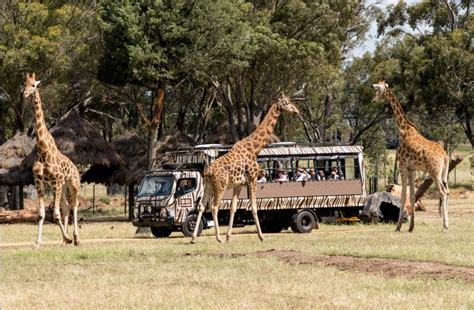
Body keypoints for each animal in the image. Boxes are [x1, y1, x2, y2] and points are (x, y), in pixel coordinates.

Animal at [23, 72, 81, 247]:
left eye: (34, 85)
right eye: (24, 84)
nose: (25, 93)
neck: (43, 149)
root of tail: (76, 168)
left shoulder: (56, 180)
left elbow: (55, 214)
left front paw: (69, 238)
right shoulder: (39, 181)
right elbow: (42, 214)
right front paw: (37, 242)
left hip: (73, 183)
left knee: (75, 205)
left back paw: (76, 238)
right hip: (63, 185)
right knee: (67, 207)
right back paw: (64, 241)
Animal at [191, 93, 298, 243]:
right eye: (286, 103)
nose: (296, 111)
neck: (254, 149)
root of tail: (208, 173)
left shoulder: (239, 184)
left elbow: (233, 208)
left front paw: (229, 236)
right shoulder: (253, 179)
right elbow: (254, 207)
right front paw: (261, 236)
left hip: (208, 186)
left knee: (201, 206)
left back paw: (193, 238)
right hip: (220, 186)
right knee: (214, 207)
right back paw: (218, 238)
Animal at [372, 81, 450, 231]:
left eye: (378, 89)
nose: (373, 100)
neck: (403, 129)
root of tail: (445, 156)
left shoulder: (402, 165)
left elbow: (403, 195)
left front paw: (398, 226)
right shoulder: (412, 168)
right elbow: (413, 195)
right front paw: (411, 227)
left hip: (434, 172)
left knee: (443, 192)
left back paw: (445, 226)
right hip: (443, 174)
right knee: (447, 191)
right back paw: (445, 224)